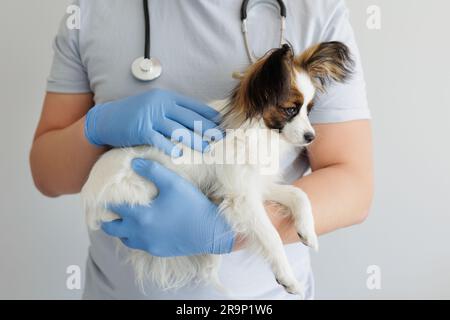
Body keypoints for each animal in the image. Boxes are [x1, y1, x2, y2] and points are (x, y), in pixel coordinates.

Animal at [81, 40, 356, 298]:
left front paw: (307, 230)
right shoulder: (242, 197)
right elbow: (271, 236)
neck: (257, 131)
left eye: (309, 110)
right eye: (290, 109)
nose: (311, 137)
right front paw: (286, 276)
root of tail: (89, 196)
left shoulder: (254, 184)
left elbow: (298, 195)